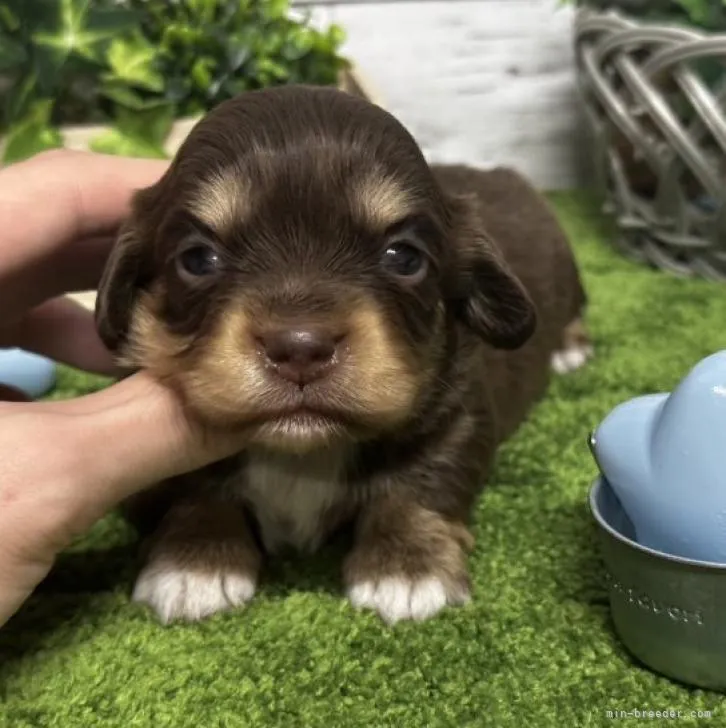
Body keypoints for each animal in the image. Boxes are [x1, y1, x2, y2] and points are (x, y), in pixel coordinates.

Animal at [95, 82, 592, 624]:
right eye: (197, 259)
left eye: (405, 257)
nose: (300, 349)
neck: (300, 456)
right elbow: (189, 486)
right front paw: (194, 561)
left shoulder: (459, 412)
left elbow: (421, 479)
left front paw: (407, 568)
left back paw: (570, 350)